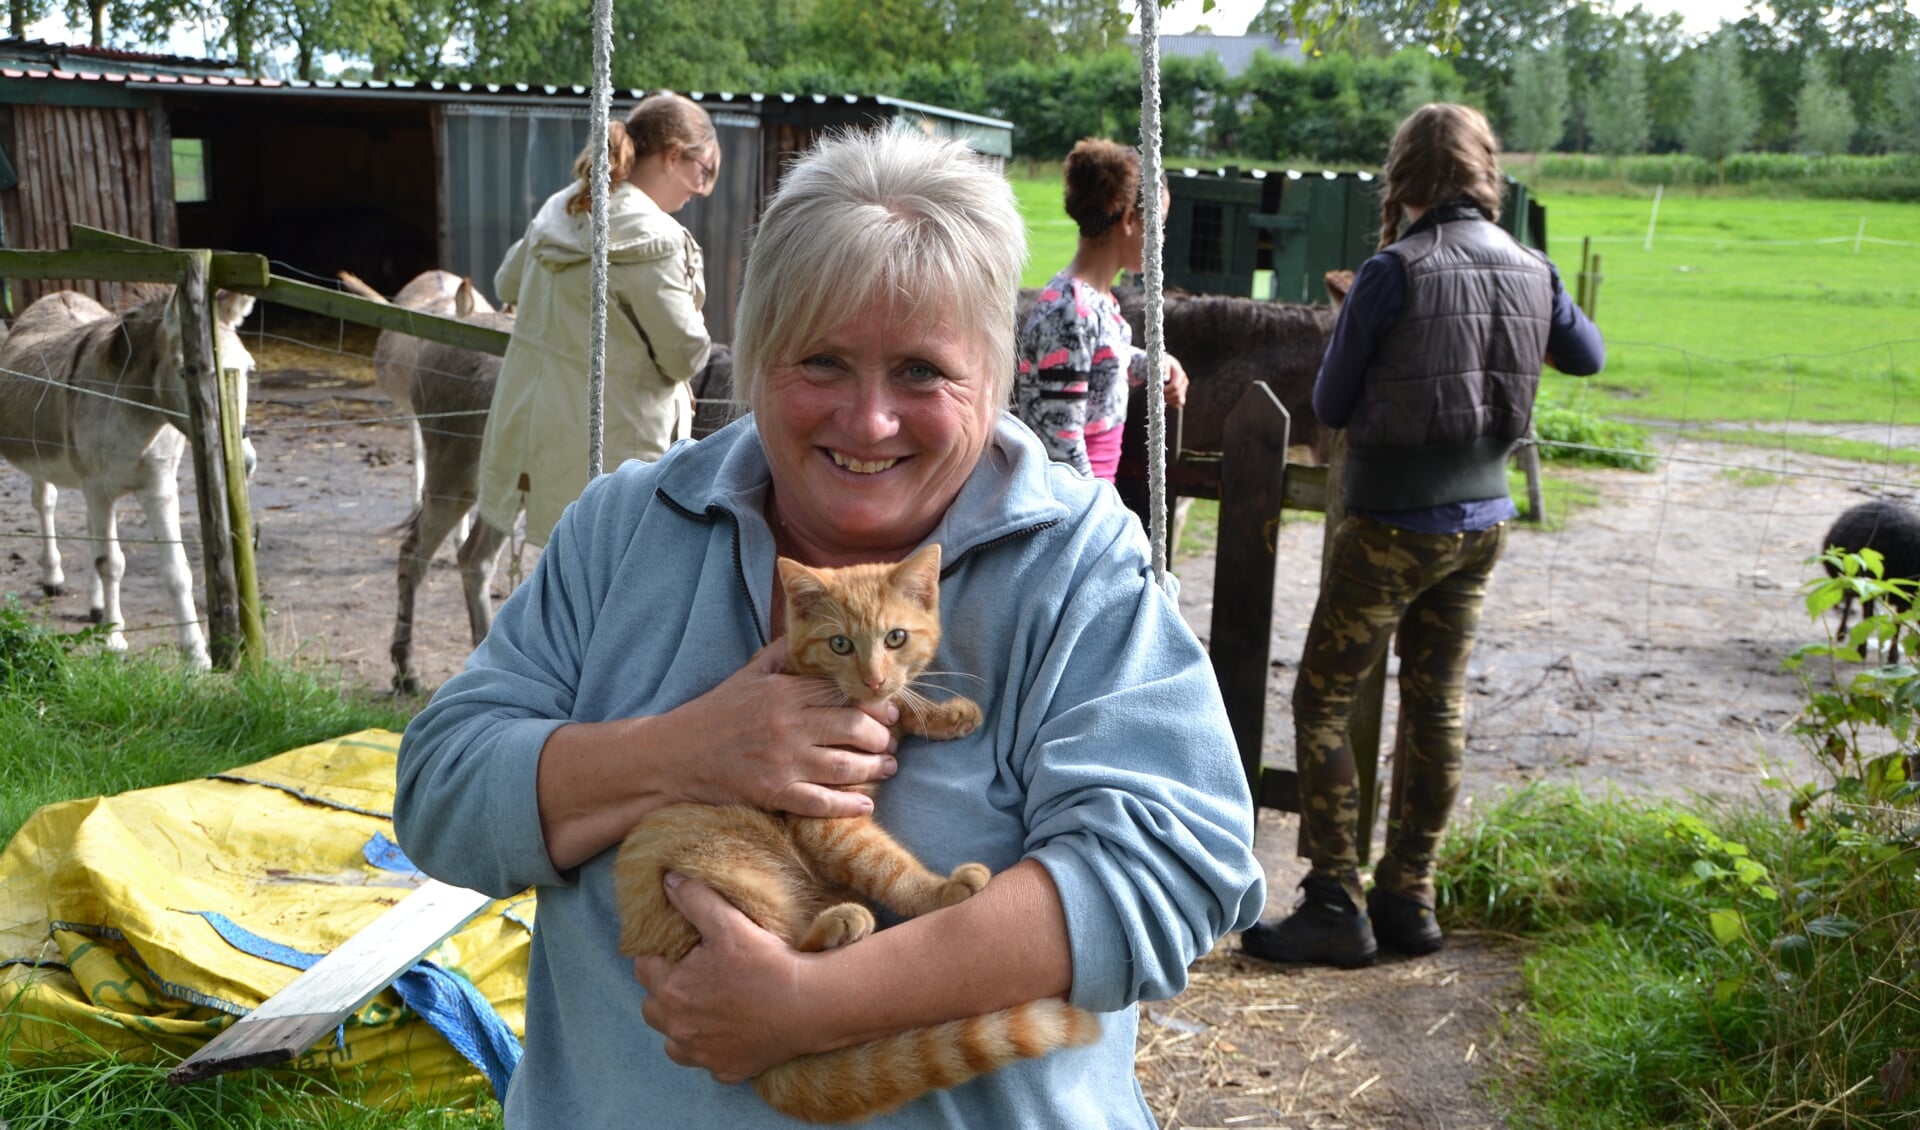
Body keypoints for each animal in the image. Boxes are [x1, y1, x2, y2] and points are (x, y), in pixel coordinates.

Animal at [614, 544, 1098, 1120]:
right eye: (840, 644)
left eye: (895, 638)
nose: (872, 679)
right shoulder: (825, 817)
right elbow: (886, 867)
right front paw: (939, 892)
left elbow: (900, 708)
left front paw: (944, 713)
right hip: (735, 875)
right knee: (785, 952)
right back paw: (839, 924)